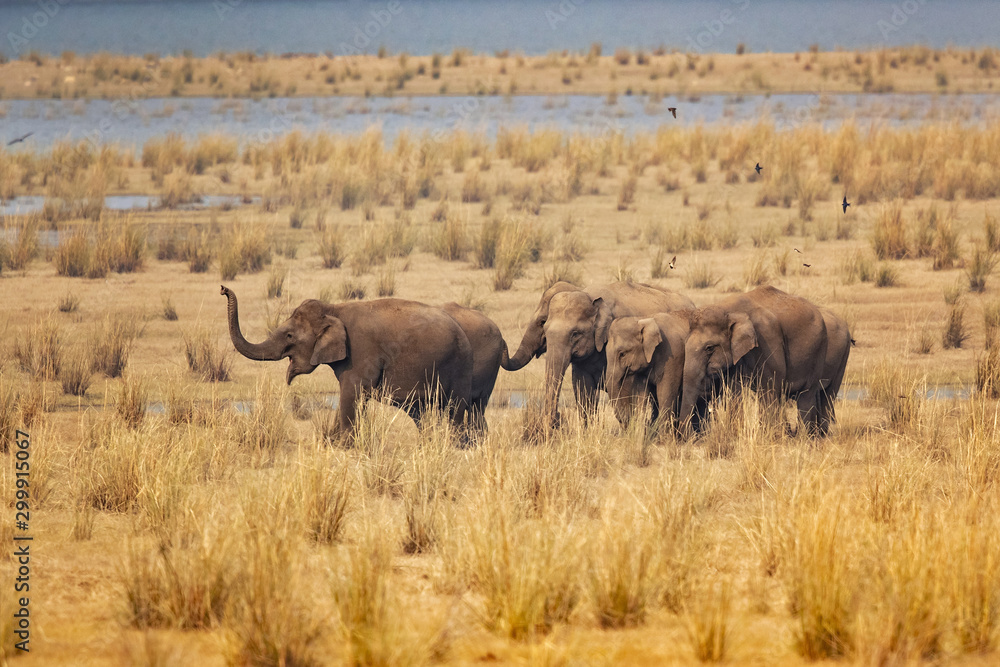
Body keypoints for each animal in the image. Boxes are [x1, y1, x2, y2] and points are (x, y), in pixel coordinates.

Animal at [221, 286, 473, 440]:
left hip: (459, 366)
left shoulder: (361, 353)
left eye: (290, 336)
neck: (334, 309)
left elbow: (351, 393)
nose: (223, 289)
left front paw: (344, 445)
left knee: (455, 407)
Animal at [679, 286, 830, 436]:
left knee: (806, 395)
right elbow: (734, 391)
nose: (689, 436)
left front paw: (769, 435)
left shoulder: (767, 339)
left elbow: (769, 387)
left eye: (709, 348)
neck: (729, 310)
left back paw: (805, 437)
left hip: (818, 352)